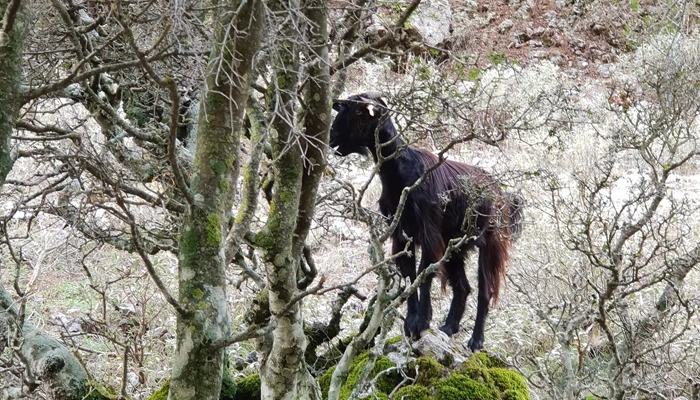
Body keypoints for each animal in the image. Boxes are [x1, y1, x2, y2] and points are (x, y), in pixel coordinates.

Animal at [329, 93, 523, 351]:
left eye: (359, 111)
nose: (332, 137)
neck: (400, 173)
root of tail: (502, 194)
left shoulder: (429, 231)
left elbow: (424, 274)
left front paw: (421, 321)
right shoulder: (401, 234)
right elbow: (410, 275)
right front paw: (411, 322)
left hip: (490, 242)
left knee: (485, 290)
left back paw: (475, 341)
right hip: (456, 246)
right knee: (463, 286)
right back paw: (448, 328)